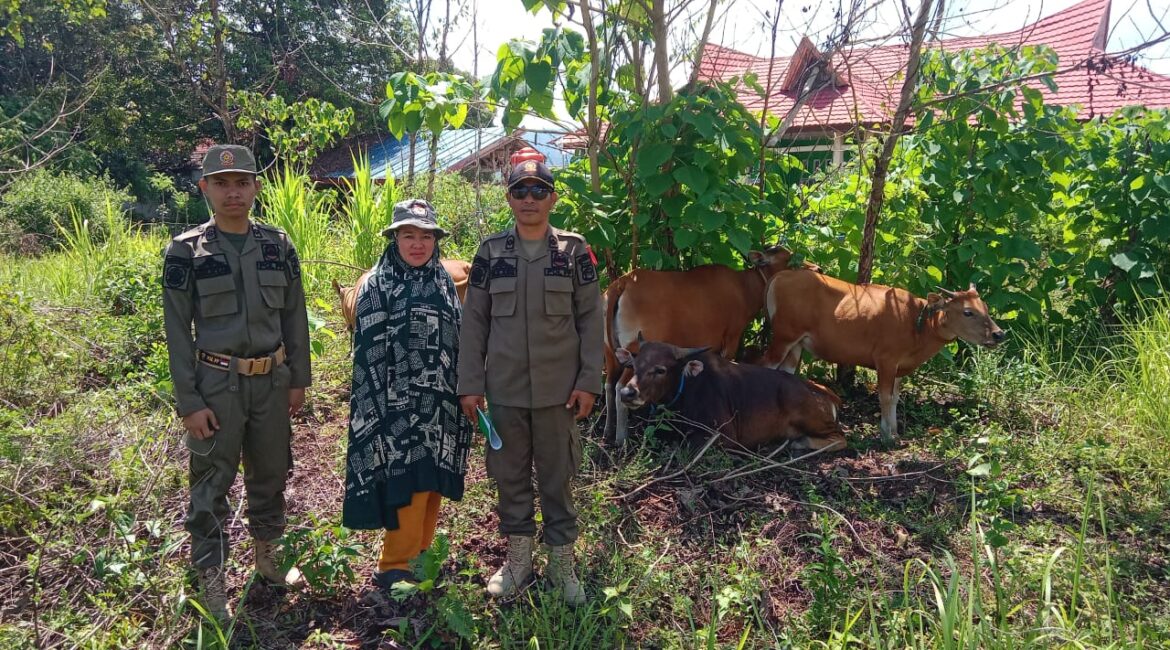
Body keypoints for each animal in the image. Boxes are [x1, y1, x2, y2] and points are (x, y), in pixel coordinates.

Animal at [603, 245, 814, 446]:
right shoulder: (731, 338)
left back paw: (608, 432)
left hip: (610, 353)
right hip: (634, 351)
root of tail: (623, 282)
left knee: (609, 385)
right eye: (791, 259)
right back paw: (622, 438)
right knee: (621, 387)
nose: (816, 269)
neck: (744, 288)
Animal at [613, 341, 842, 451]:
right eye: (634, 365)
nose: (627, 392)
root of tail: (828, 394)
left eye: (660, 369)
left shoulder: (724, 436)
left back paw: (801, 443)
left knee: (841, 437)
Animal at [758, 271, 1006, 444]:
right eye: (968, 312)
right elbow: (884, 397)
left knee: (786, 372)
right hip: (784, 336)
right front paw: (886, 435)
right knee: (765, 365)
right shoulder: (886, 360)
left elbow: (895, 397)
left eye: (985, 308)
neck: (917, 326)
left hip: (797, 344)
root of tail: (781, 275)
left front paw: (895, 432)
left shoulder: (900, 366)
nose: (998, 334)